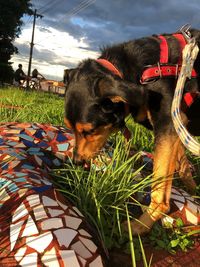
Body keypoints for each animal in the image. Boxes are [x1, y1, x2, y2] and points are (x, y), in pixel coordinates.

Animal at [63, 27, 200, 236]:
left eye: (90, 130)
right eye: (69, 127)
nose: (77, 161)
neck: (139, 73)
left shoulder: (168, 124)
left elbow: (159, 189)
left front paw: (140, 225)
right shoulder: (177, 126)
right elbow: (183, 168)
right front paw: (194, 194)